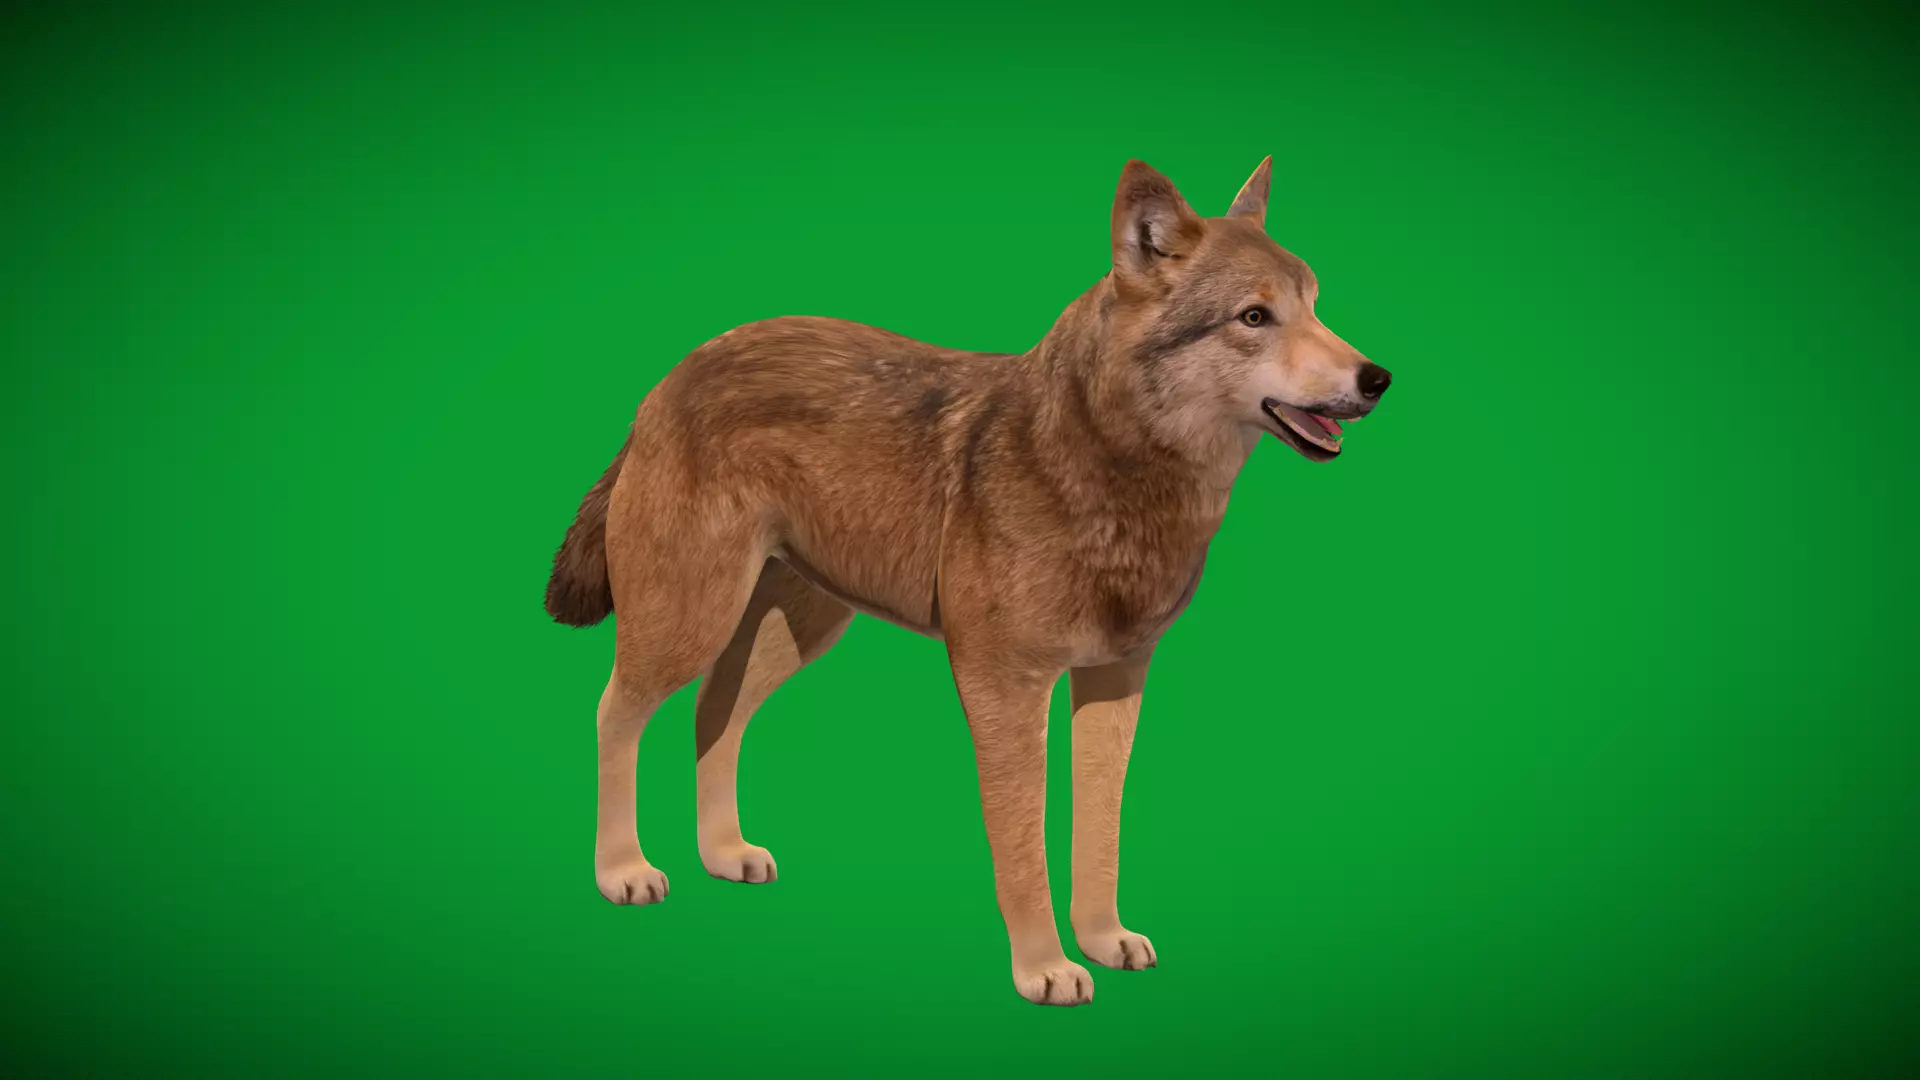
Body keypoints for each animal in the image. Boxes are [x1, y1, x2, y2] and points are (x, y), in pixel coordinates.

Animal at [544, 157, 1393, 1006]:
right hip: (692, 619)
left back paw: (724, 854)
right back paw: (622, 870)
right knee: (615, 712)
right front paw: (1045, 967)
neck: (1109, 469)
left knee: (715, 712)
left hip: (796, 630)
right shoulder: (1004, 686)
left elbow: (1100, 833)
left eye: (1315, 304)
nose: (1378, 377)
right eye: (1255, 317)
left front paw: (1103, 940)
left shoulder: (1115, 681)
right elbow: (1022, 845)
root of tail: (671, 377)